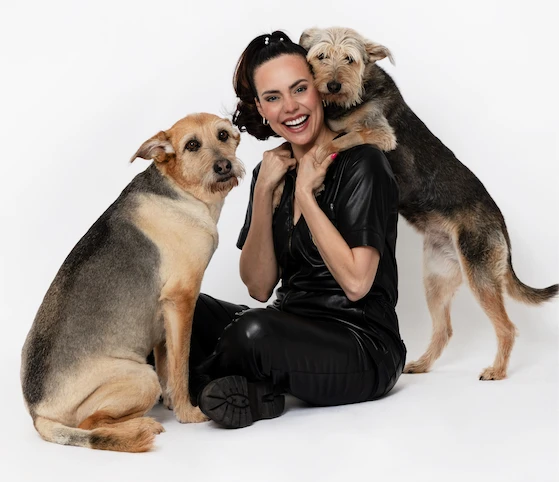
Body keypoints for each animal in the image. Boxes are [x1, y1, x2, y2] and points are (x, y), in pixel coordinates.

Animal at [20, 113, 244, 452]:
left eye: (223, 135)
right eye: (192, 145)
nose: (224, 166)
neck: (181, 191)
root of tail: (38, 415)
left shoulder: (164, 318)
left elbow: (168, 364)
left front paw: (171, 403)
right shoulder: (181, 300)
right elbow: (180, 367)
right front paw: (188, 413)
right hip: (140, 376)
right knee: (91, 423)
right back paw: (142, 425)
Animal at [298, 26, 558, 380]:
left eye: (350, 59)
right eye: (321, 56)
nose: (333, 86)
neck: (356, 94)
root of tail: (501, 225)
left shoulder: (379, 135)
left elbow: (334, 142)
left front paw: (315, 166)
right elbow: (329, 139)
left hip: (480, 275)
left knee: (506, 327)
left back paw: (497, 370)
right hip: (437, 278)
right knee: (444, 328)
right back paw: (421, 364)